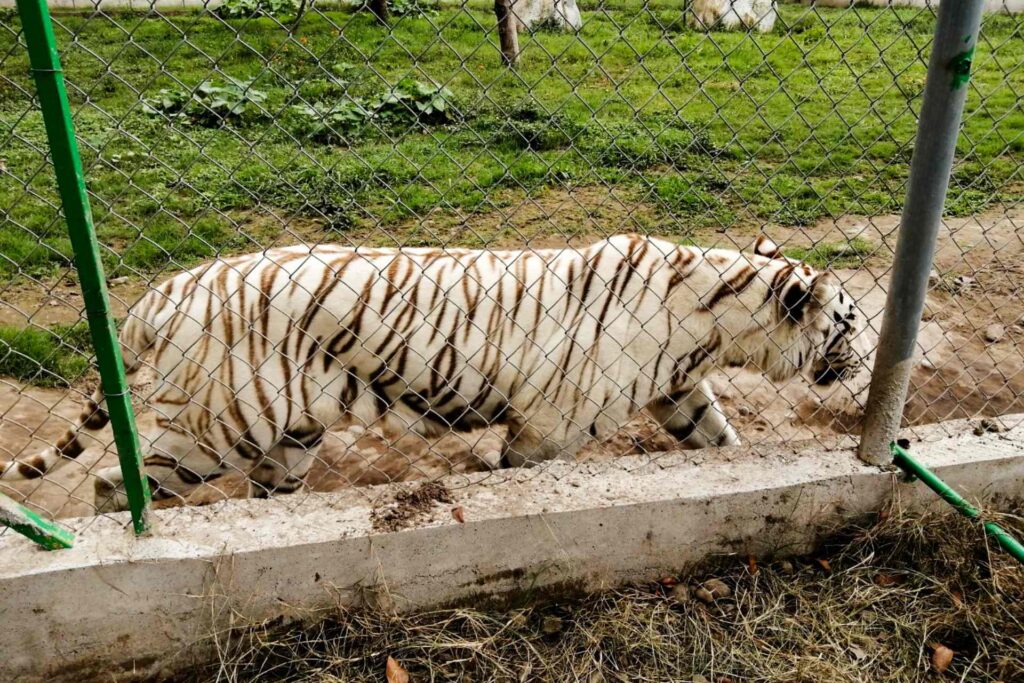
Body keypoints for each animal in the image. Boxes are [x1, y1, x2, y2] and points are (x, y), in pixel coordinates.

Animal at [0, 234, 863, 511]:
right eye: (851, 323)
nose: (865, 360)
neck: (715, 320)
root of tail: (164, 289)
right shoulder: (550, 425)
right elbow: (522, 473)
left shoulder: (679, 388)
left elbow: (719, 440)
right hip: (218, 425)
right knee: (114, 483)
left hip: (289, 435)